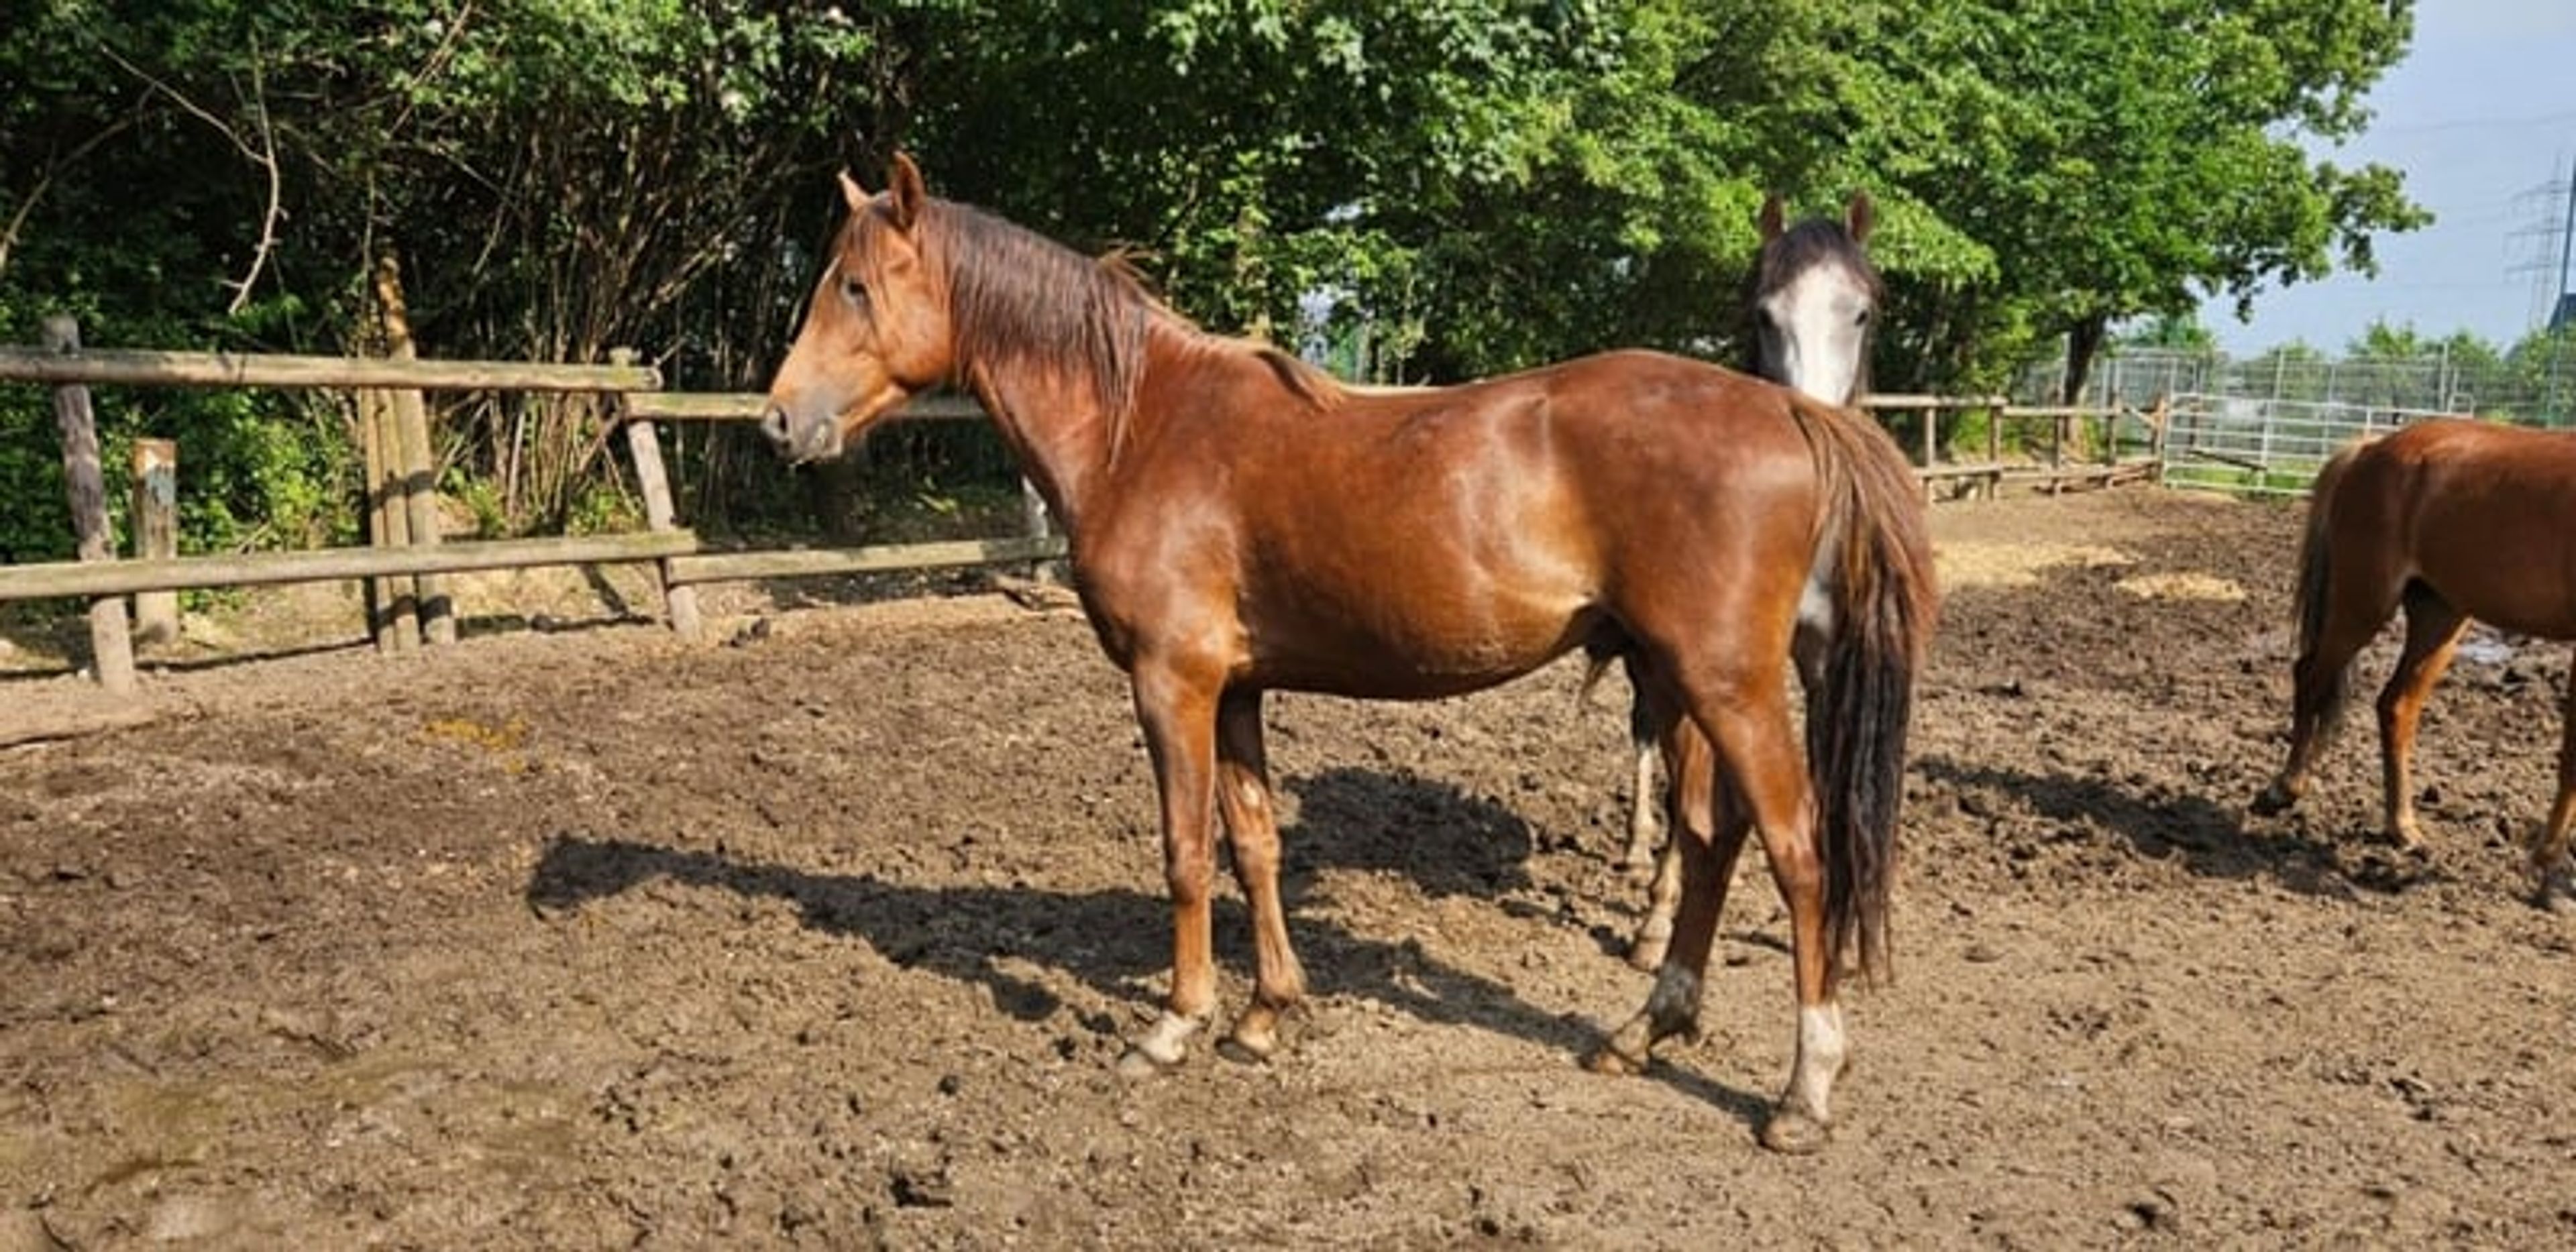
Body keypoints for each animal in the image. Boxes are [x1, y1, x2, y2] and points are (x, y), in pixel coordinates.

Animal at [1614, 191, 1882, 973]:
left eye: (1862, 312)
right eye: (1764, 314)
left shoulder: (1825, 662)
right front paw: (1658, 918)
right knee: (1646, 739)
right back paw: (1639, 853)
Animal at [2252, 418, 2576, 905]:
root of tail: (2371, 448)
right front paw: (2551, 872)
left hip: (2439, 615)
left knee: (2396, 706)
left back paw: (2401, 828)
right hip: (2365, 604)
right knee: (2309, 675)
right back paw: (2284, 788)